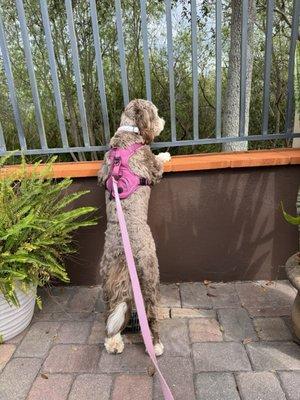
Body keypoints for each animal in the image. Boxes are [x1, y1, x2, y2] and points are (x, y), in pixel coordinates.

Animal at [98, 100, 169, 356]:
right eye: (155, 113)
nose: (163, 121)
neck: (128, 132)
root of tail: (123, 256)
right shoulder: (151, 166)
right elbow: (158, 164)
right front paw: (166, 154)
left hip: (107, 278)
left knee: (110, 312)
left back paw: (113, 342)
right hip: (149, 275)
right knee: (150, 313)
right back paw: (156, 345)